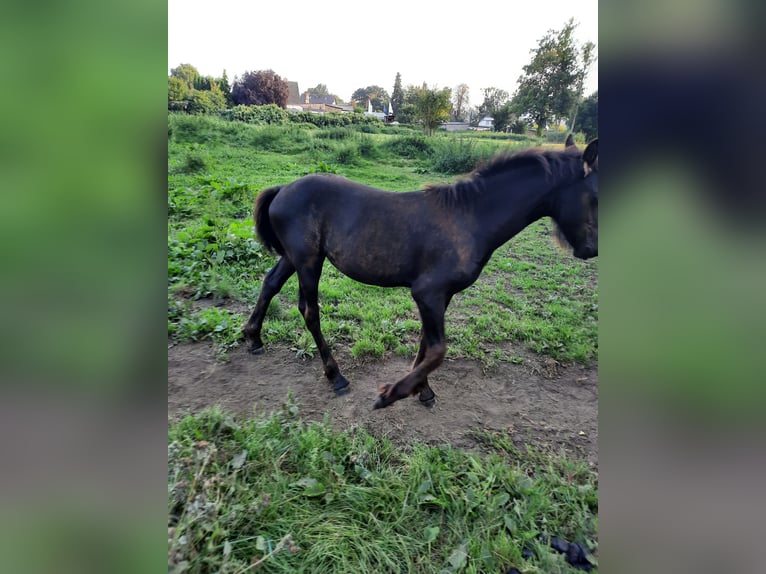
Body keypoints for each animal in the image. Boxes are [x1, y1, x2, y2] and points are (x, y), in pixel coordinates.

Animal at [243, 140, 596, 410]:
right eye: (593, 198)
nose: (591, 249)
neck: (469, 219)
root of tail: (283, 189)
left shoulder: (441, 296)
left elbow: (427, 343)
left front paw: (422, 390)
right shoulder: (427, 293)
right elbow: (438, 349)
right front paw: (391, 394)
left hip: (293, 257)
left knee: (270, 284)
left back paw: (253, 338)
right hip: (308, 261)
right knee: (309, 310)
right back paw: (336, 376)